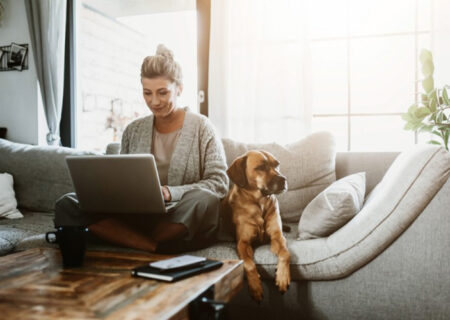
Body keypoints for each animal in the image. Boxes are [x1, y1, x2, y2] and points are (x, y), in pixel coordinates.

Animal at [222, 150, 292, 302]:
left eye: (277, 164)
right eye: (261, 167)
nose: (284, 179)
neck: (260, 203)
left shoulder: (277, 236)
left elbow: (285, 253)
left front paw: (282, 277)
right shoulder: (243, 243)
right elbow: (248, 264)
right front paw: (255, 287)